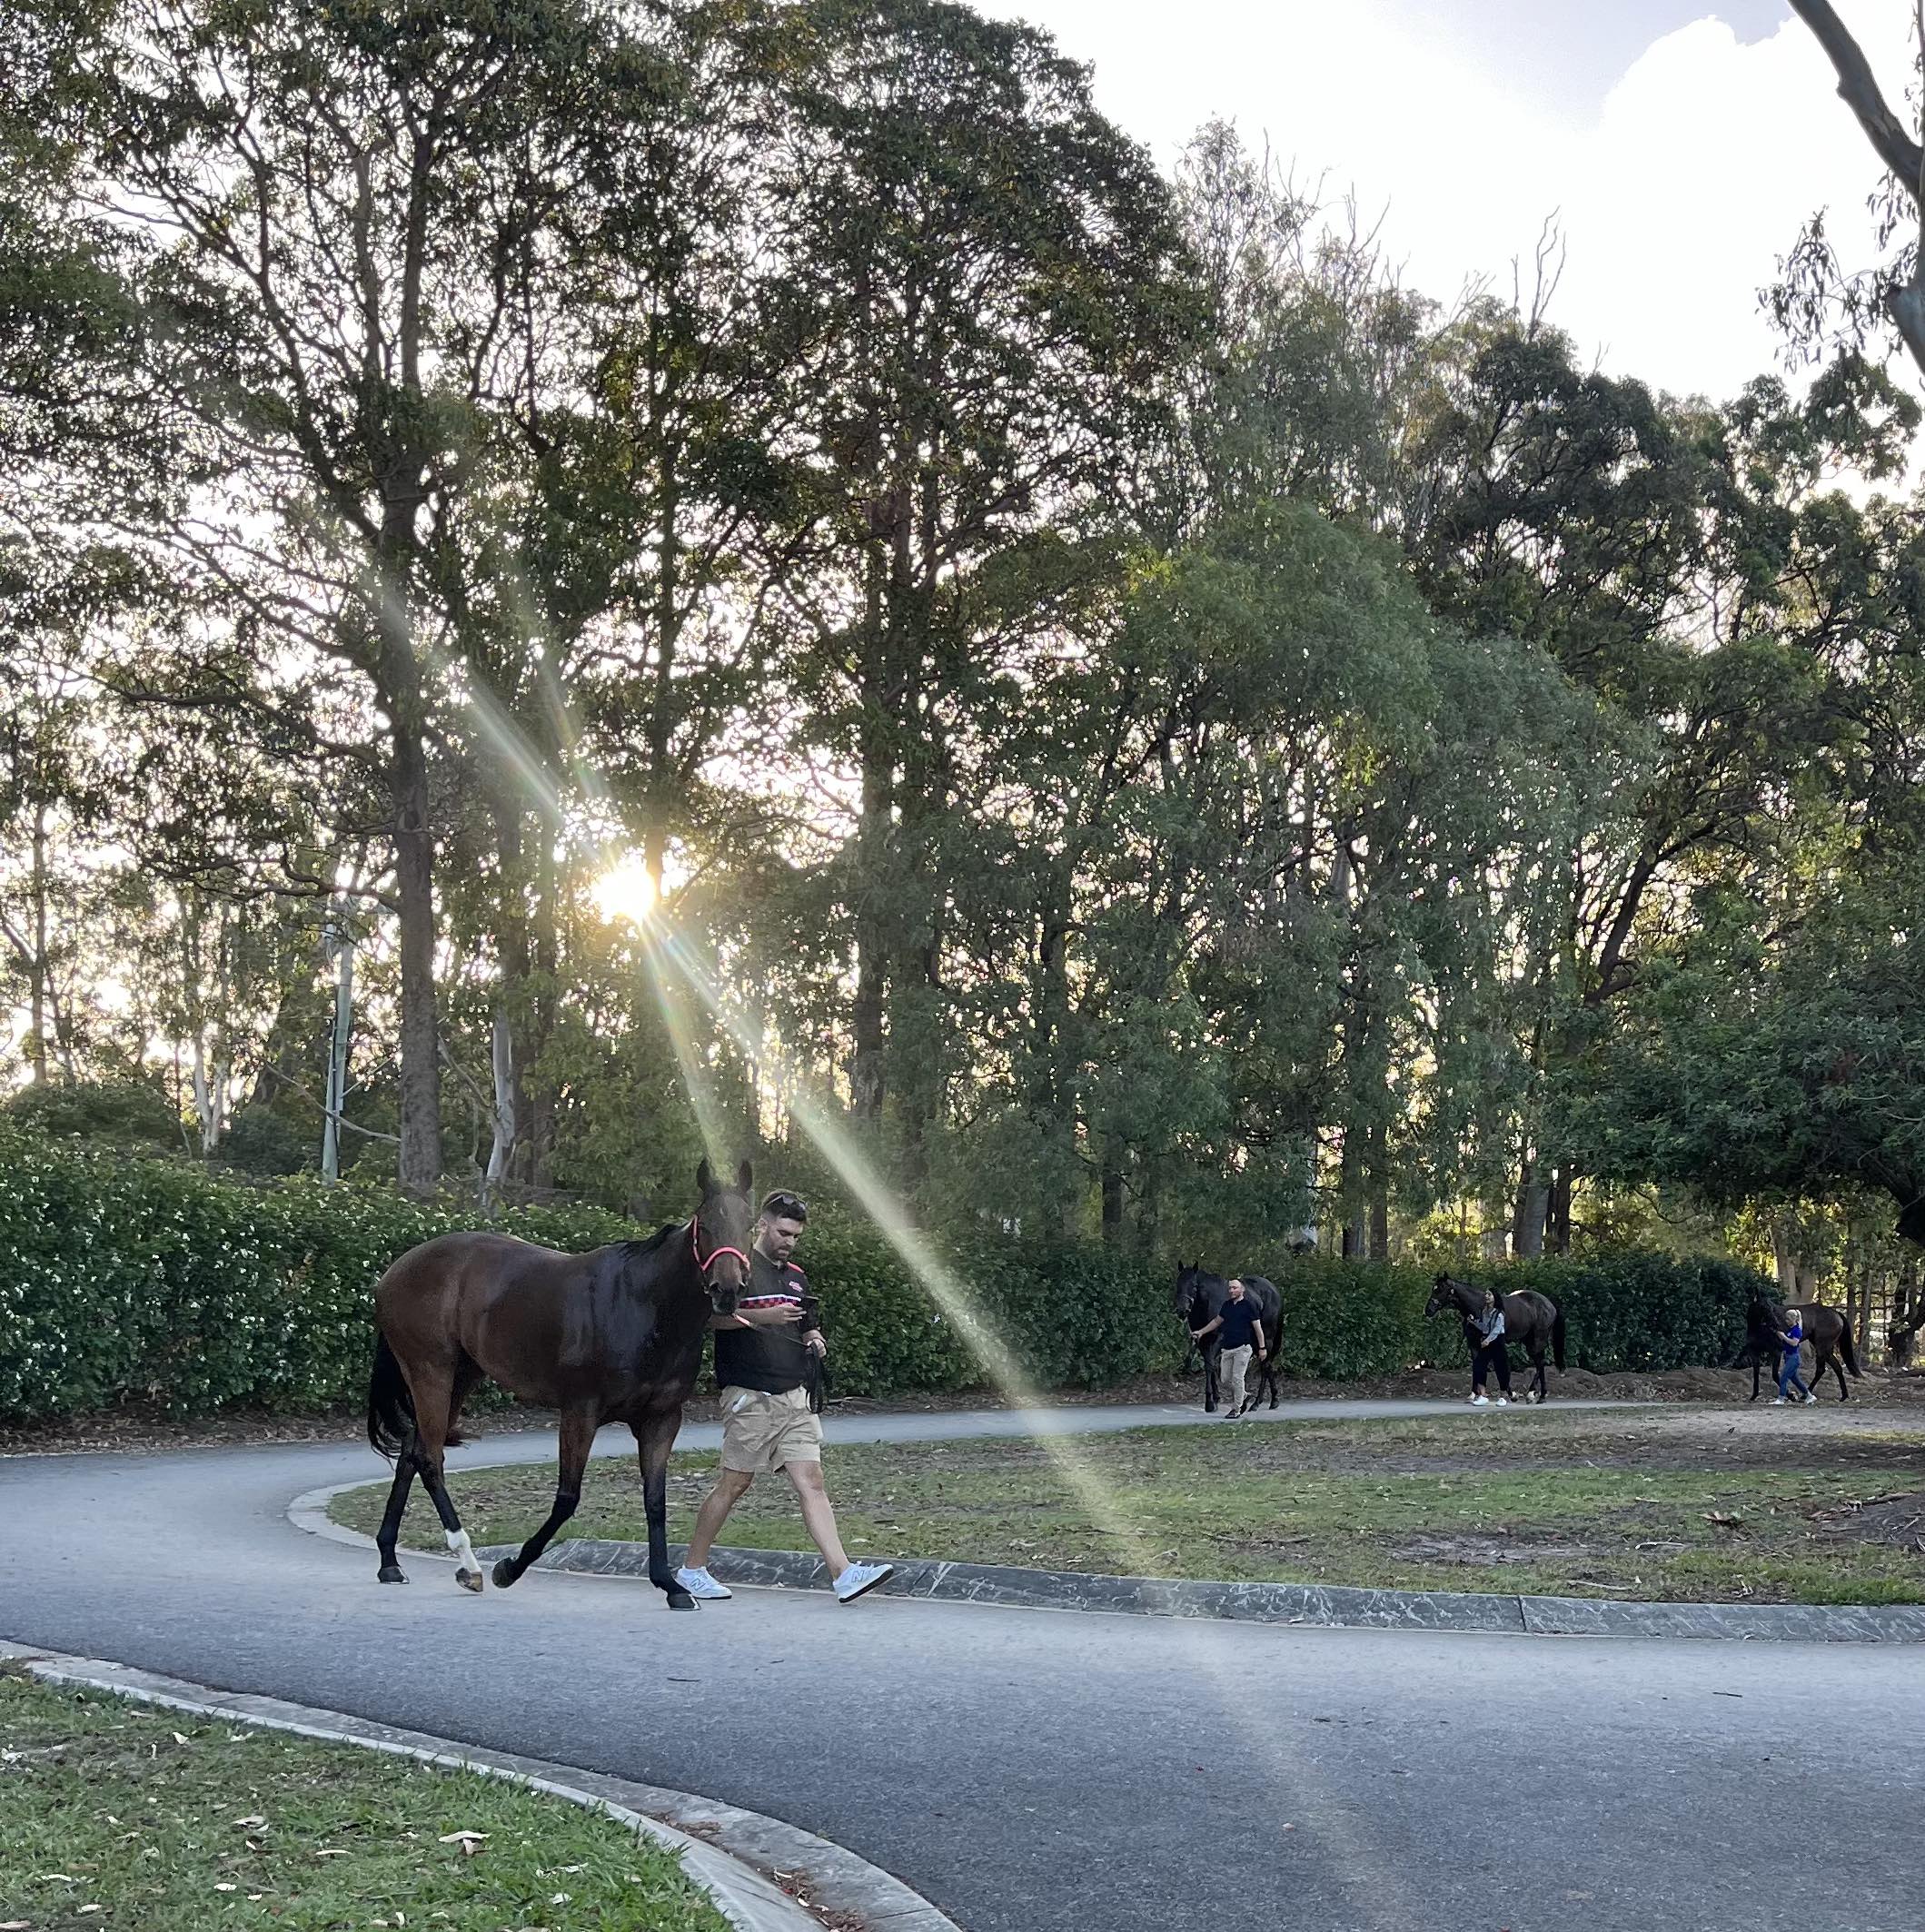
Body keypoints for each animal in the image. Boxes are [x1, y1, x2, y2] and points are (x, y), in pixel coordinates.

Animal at [365, 1151, 757, 1607]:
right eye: (705, 1224)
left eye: (749, 1225)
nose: (728, 1290)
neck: (643, 1305)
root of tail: (393, 1273)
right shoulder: (579, 1413)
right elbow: (567, 1499)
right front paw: (509, 1568)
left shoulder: (661, 1420)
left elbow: (655, 1501)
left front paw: (669, 1584)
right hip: (431, 1370)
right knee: (429, 1459)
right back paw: (469, 1565)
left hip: (461, 1376)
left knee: (411, 1453)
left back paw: (389, 1561)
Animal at [1167, 1267, 1283, 1422]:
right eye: (1178, 1283)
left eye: (1194, 1285)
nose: (1182, 1310)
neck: (1207, 1302)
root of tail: (1273, 1290)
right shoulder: (1203, 1341)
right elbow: (1211, 1367)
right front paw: (1216, 1399)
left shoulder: (1217, 1341)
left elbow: (1210, 1367)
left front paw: (1210, 1403)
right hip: (1255, 1341)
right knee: (1268, 1366)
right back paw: (1272, 1400)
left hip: (1267, 1339)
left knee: (1265, 1366)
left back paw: (1257, 1403)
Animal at [1739, 1298, 1855, 1406]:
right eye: (1764, 1308)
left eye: (1771, 1308)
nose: (1776, 1324)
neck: (1758, 1329)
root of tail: (1837, 1314)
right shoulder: (1754, 1353)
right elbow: (1756, 1374)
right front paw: (1753, 1396)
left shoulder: (1776, 1352)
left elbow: (1775, 1375)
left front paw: (1791, 1396)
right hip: (1824, 1349)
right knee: (1836, 1368)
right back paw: (1843, 1396)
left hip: (1822, 1348)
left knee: (1821, 1369)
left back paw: (1805, 1395)